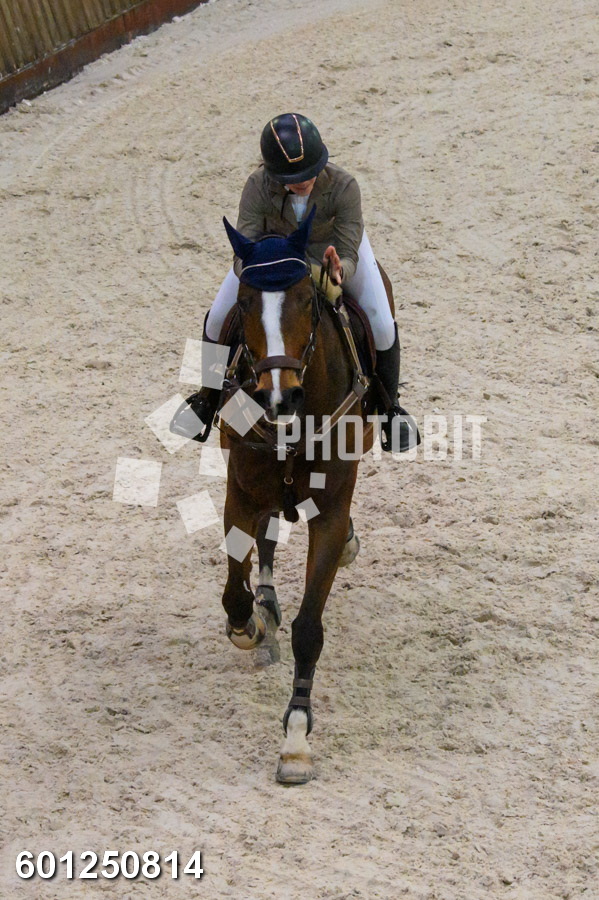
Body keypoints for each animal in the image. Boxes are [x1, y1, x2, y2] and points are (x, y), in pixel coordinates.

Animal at [212, 209, 394, 784]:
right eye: (246, 301)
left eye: (306, 302)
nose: (279, 396)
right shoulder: (240, 494)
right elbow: (235, 593)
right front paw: (252, 626)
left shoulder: (329, 514)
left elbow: (309, 629)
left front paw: (295, 739)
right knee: (266, 542)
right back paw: (265, 604)